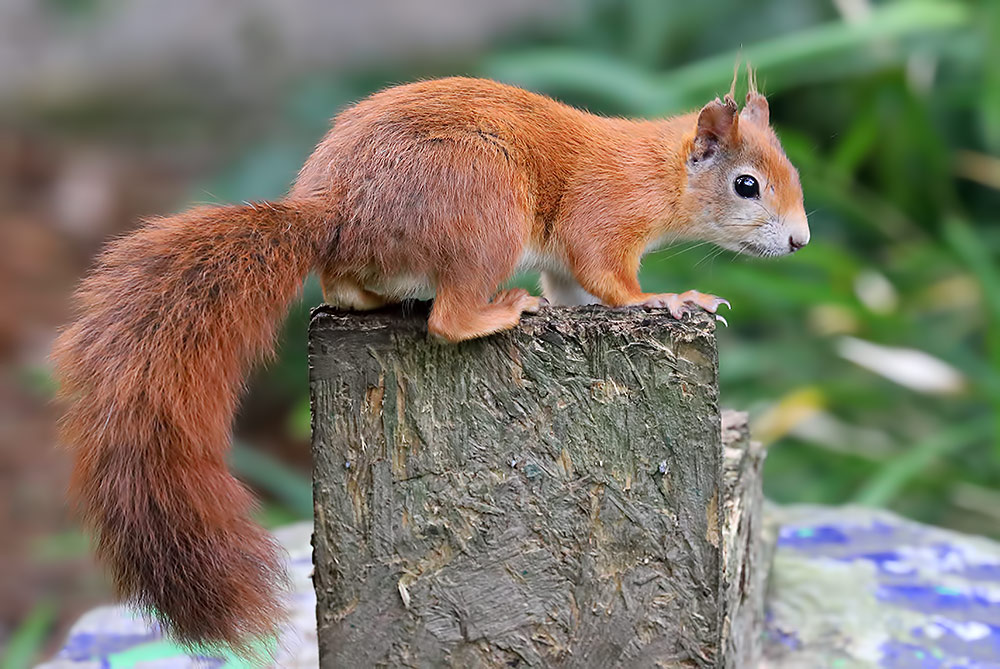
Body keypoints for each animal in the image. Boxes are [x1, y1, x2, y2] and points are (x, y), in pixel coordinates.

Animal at [52, 74, 808, 652]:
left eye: (792, 175)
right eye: (746, 186)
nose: (801, 242)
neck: (655, 167)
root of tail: (337, 211)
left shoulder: (567, 263)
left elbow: (572, 288)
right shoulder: (601, 219)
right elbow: (609, 278)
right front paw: (672, 298)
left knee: (350, 292)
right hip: (484, 210)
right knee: (448, 319)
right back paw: (500, 311)